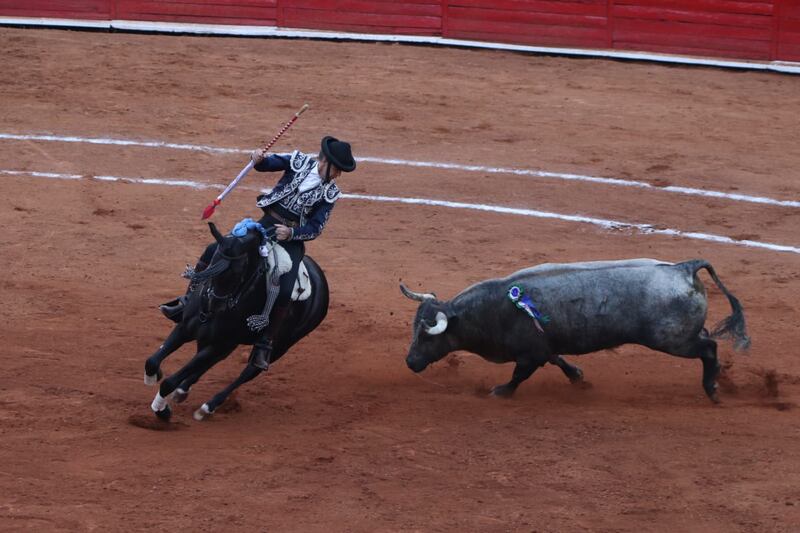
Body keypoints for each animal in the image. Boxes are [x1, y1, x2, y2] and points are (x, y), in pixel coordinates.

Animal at [144, 221, 328, 420]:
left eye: (238, 271)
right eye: (212, 261)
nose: (211, 306)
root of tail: (319, 276)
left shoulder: (220, 343)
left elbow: (169, 382)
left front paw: (162, 410)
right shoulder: (186, 328)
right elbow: (152, 361)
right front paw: (155, 378)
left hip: (281, 345)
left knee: (248, 372)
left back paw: (208, 406)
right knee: (210, 361)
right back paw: (183, 390)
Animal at [404, 256, 752, 400]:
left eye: (426, 336)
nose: (409, 361)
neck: (493, 308)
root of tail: (685, 268)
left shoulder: (529, 355)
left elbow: (519, 375)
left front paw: (501, 392)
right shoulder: (543, 346)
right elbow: (558, 359)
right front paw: (579, 378)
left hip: (672, 340)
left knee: (709, 348)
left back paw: (712, 389)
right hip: (682, 335)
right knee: (707, 341)